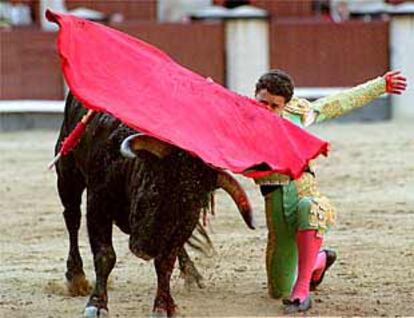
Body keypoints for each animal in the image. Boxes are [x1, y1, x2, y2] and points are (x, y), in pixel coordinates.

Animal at [54, 93, 252, 316]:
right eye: (156, 188)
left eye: (192, 205)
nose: (144, 250)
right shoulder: (98, 202)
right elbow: (105, 255)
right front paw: (96, 304)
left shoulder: (184, 226)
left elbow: (165, 263)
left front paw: (164, 304)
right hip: (67, 174)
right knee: (72, 218)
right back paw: (76, 277)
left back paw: (191, 273)